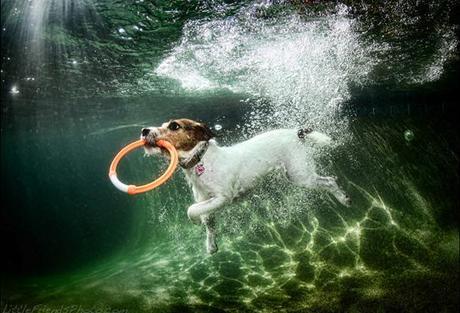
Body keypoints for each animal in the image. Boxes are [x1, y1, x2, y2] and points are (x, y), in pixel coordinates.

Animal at [142, 118, 350, 252]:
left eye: (174, 126)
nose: (144, 131)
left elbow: (191, 209)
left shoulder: (223, 197)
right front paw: (211, 246)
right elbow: (208, 222)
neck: (201, 161)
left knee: (330, 181)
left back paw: (344, 198)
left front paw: (195, 221)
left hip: (300, 175)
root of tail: (295, 133)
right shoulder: (207, 202)